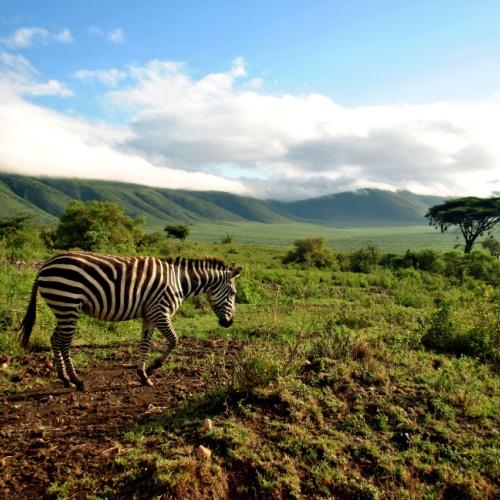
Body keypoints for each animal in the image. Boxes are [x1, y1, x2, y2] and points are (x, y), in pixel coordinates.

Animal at [20, 250, 243, 390]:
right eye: (233, 293)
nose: (229, 323)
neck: (179, 281)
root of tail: (45, 265)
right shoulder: (160, 312)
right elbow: (174, 340)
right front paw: (154, 367)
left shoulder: (150, 315)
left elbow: (145, 345)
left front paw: (143, 376)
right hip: (68, 304)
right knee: (65, 342)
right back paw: (77, 381)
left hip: (63, 308)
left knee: (55, 339)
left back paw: (65, 378)